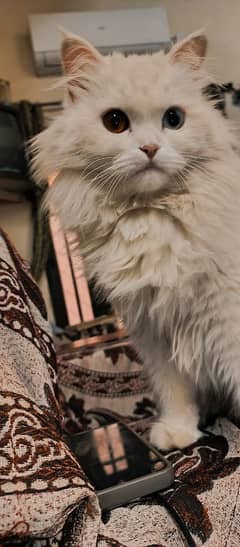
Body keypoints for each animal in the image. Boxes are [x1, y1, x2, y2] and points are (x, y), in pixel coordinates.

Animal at [32, 31, 240, 450]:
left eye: (173, 119)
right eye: (115, 122)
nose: (150, 149)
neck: (150, 217)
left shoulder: (227, 320)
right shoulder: (153, 331)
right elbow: (174, 391)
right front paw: (177, 433)